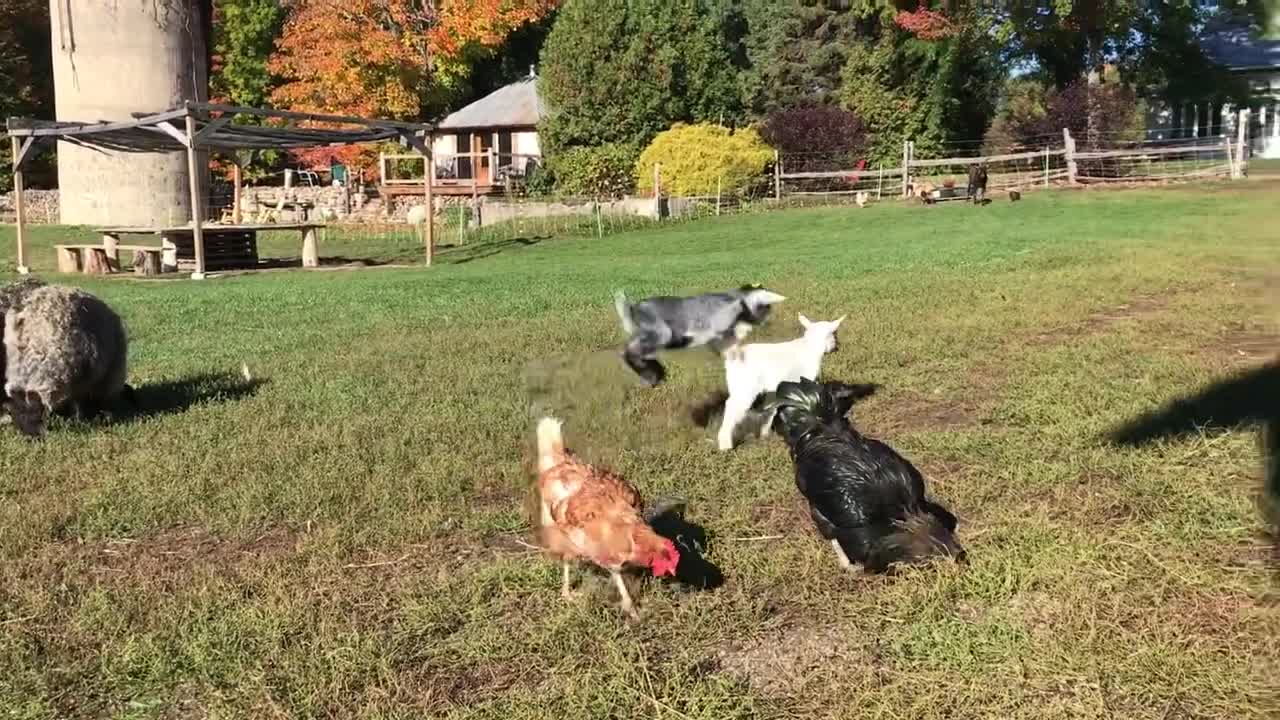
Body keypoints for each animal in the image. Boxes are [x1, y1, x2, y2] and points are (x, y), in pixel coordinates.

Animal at [716, 312, 844, 450]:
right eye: (834, 333)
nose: (837, 347)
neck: (810, 346)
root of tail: (731, 357)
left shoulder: (773, 389)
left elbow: (770, 409)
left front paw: (765, 434)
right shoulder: (805, 381)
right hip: (744, 387)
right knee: (732, 407)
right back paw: (725, 445)